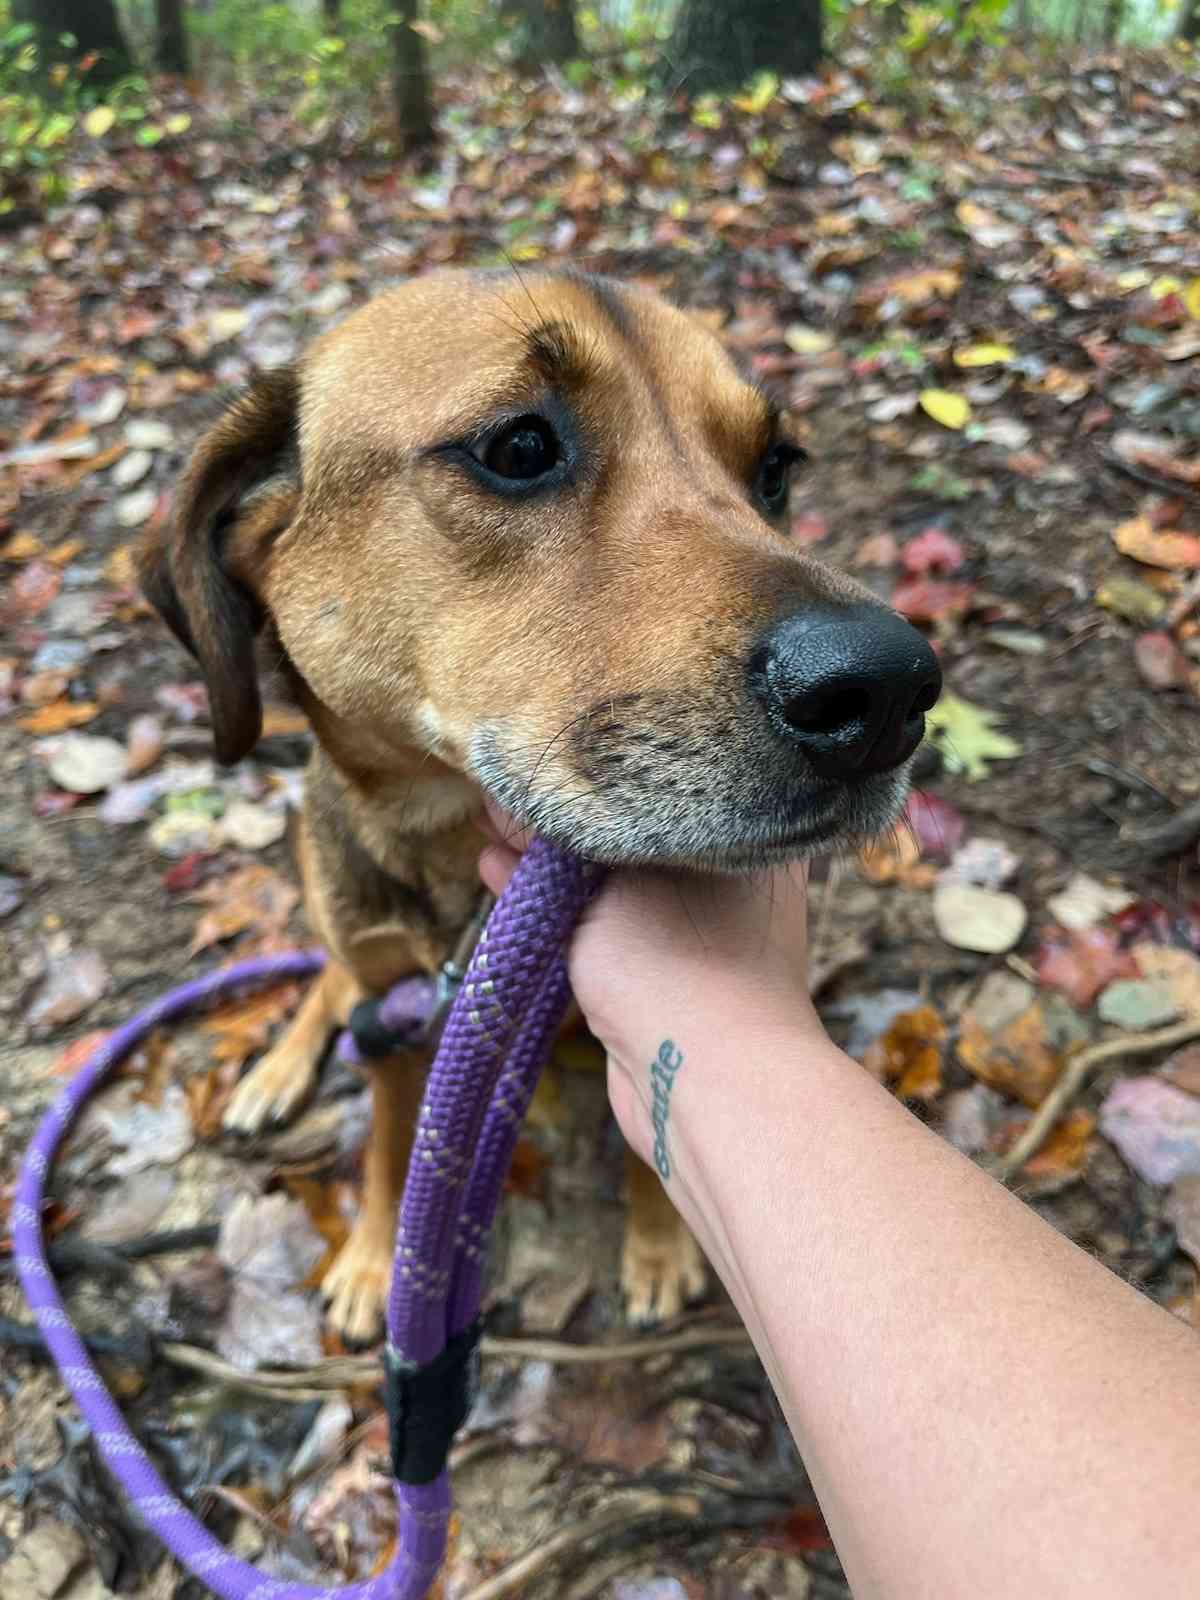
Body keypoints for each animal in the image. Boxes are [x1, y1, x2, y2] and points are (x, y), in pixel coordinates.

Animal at [140, 268, 947, 1344]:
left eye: (775, 468)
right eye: (519, 448)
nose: (891, 691)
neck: (452, 867)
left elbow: (648, 1146)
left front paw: (659, 1247)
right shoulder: (392, 1024)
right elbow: (389, 1141)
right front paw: (375, 1257)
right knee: (330, 977)